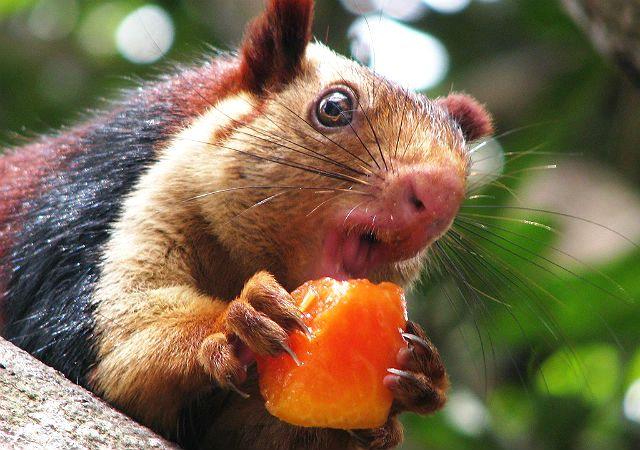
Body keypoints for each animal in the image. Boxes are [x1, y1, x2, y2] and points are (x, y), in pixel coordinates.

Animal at [0, 1, 493, 449]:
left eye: (467, 162)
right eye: (334, 108)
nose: (442, 193)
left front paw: (417, 381)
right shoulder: (91, 223)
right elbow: (120, 347)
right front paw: (236, 318)